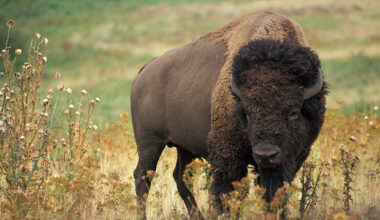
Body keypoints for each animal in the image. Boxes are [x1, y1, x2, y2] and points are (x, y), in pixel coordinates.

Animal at [131, 11, 326, 219]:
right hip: (150, 143)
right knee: (142, 177)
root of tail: (144, 71)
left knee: (180, 177)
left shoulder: (291, 159)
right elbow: (228, 194)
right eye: (246, 113)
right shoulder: (229, 159)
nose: (266, 154)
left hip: (184, 147)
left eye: (294, 112)